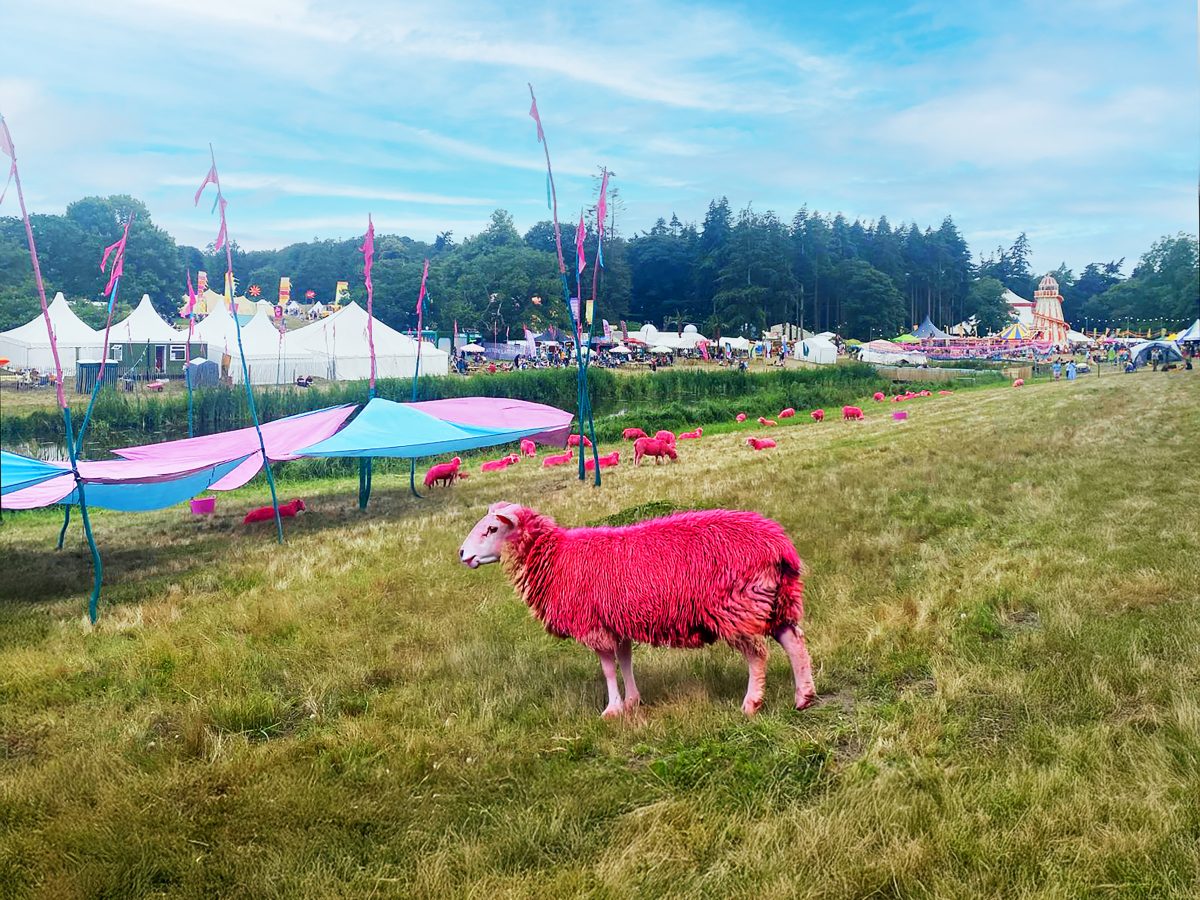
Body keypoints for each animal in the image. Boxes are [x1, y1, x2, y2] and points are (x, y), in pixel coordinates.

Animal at [459, 502, 816, 717]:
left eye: (492, 529)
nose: (462, 553)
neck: (557, 558)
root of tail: (778, 544)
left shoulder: (593, 624)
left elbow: (607, 669)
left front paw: (613, 709)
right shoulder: (617, 621)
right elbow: (626, 661)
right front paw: (632, 701)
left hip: (737, 605)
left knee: (758, 655)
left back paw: (751, 704)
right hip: (776, 599)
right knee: (795, 643)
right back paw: (804, 697)